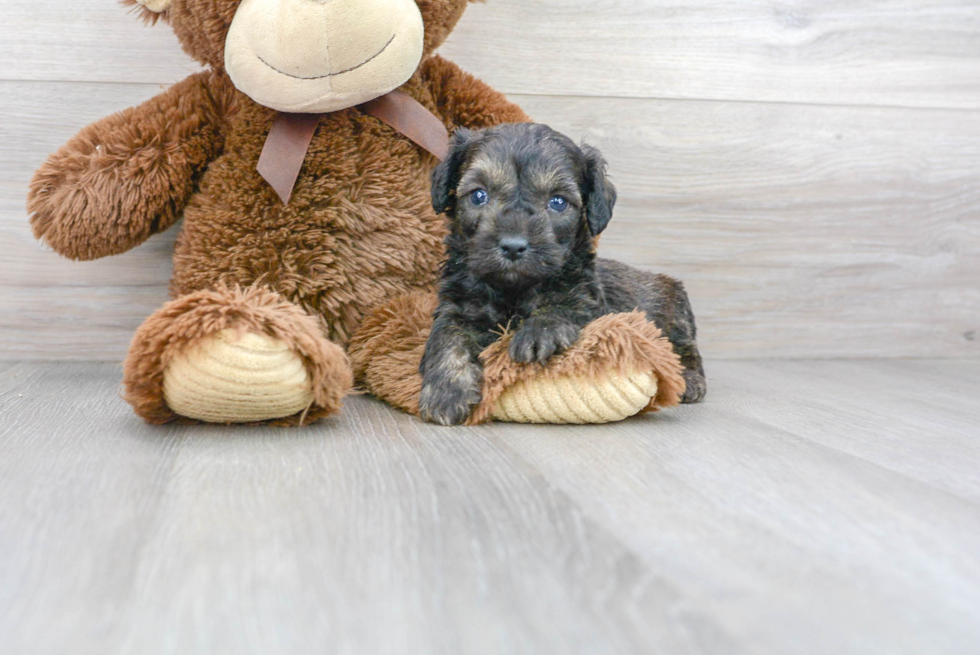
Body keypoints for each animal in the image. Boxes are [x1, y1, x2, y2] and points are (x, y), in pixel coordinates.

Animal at [416, 123, 704, 428]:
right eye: (478, 195)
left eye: (557, 202)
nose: (513, 246)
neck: (514, 290)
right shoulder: (457, 307)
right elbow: (446, 335)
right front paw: (446, 389)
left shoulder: (586, 300)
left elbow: (563, 306)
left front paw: (539, 332)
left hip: (674, 314)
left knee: (684, 348)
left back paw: (690, 380)